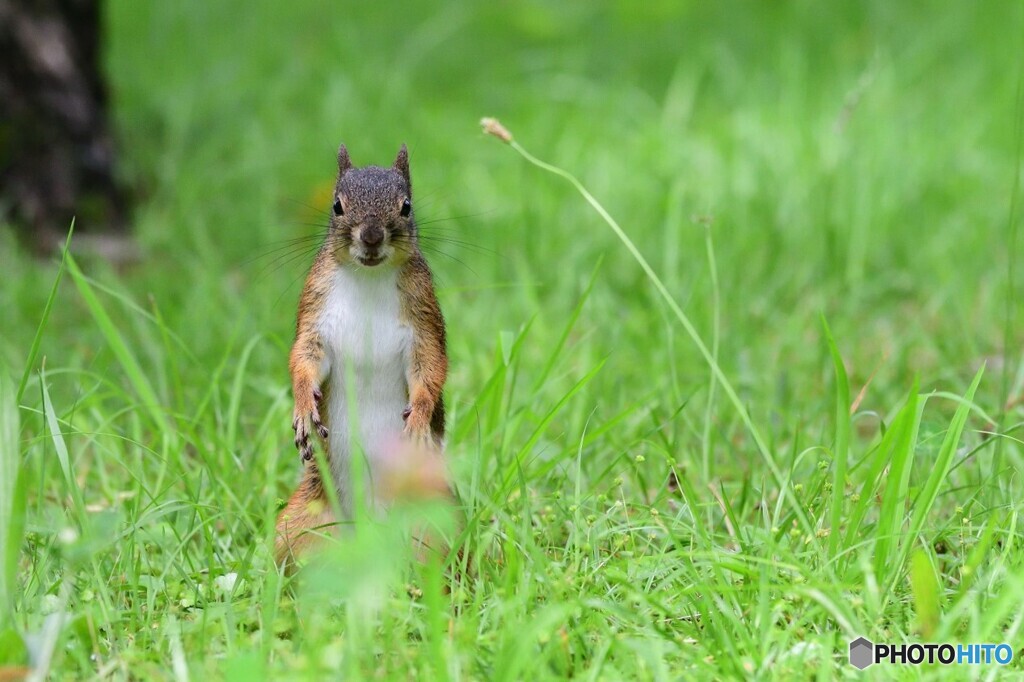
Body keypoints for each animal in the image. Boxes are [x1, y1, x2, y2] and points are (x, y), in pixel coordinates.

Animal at [274, 142, 446, 561]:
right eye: (337, 205)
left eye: (406, 206)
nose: (370, 236)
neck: (368, 277)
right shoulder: (315, 311)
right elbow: (303, 359)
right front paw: (303, 409)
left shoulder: (424, 320)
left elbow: (430, 368)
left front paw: (419, 420)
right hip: (299, 524)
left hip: (432, 523)